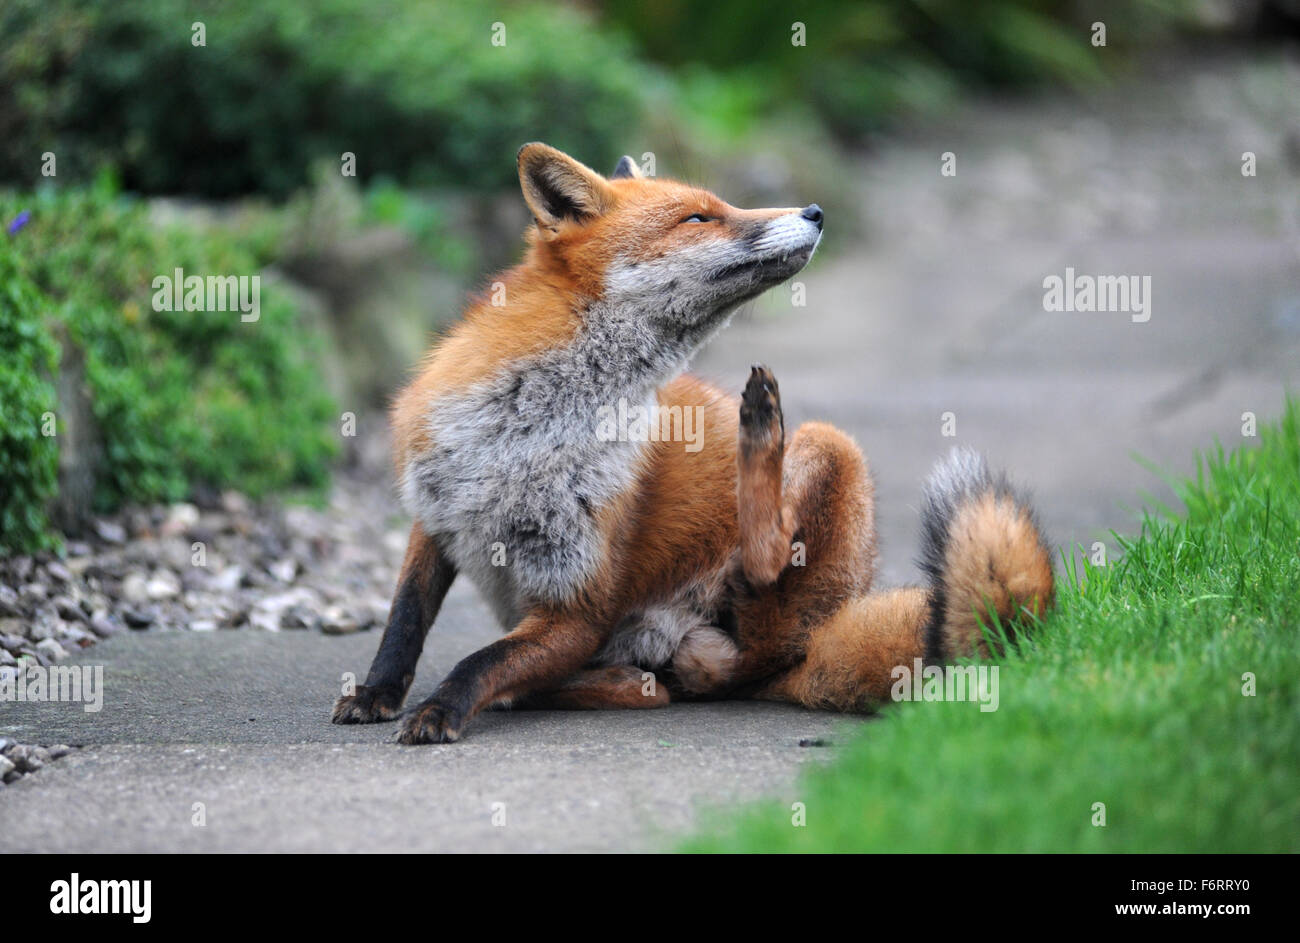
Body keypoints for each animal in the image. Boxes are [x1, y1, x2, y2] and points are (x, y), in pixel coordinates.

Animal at [335, 143, 1055, 743]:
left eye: (721, 206)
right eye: (699, 218)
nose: (816, 211)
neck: (529, 432)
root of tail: (807, 646)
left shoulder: (577, 604)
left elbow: (481, 658)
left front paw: (443, 706)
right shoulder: (437, 515)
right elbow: (405, 621)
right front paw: (377, 692)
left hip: (828, 451)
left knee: (755, 582)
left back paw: (760, 428)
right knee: (659, 683)